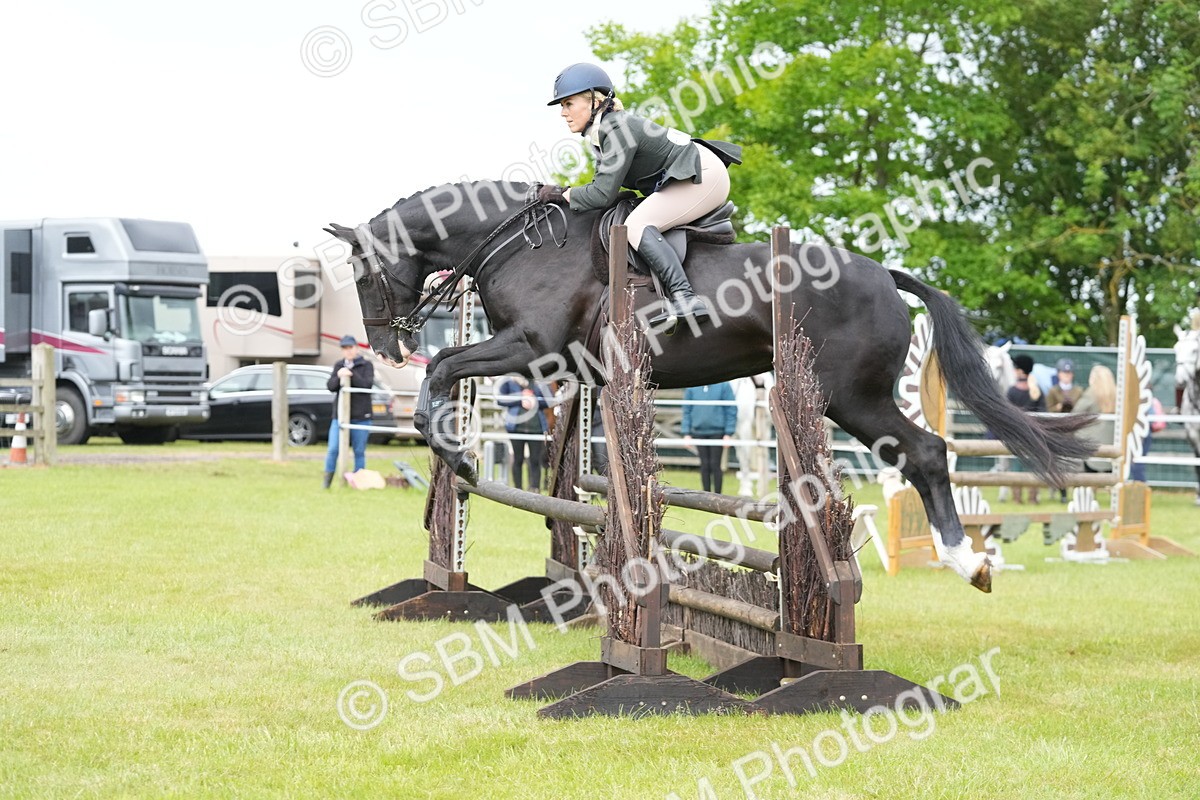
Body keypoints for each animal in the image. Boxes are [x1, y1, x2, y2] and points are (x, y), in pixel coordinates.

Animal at [326, 180, 1096, 592]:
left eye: (363, 276)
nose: (390, 348)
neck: (516, 243)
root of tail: (886, 274)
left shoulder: (529, 348)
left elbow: (445, 371)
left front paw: (456, 457)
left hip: (854, 398)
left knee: (928, 453)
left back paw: (968, 562)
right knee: (926, 454)